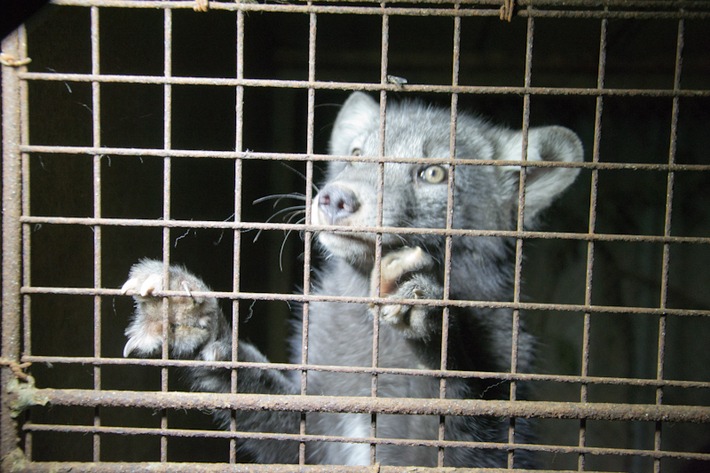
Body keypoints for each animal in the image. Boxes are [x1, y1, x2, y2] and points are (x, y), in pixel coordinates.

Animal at [119, 91, 580, 464]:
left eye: (434, 173)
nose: (336, 198)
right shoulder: (316, 436)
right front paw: (186, 316)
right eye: (357, 151)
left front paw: (420, 302)